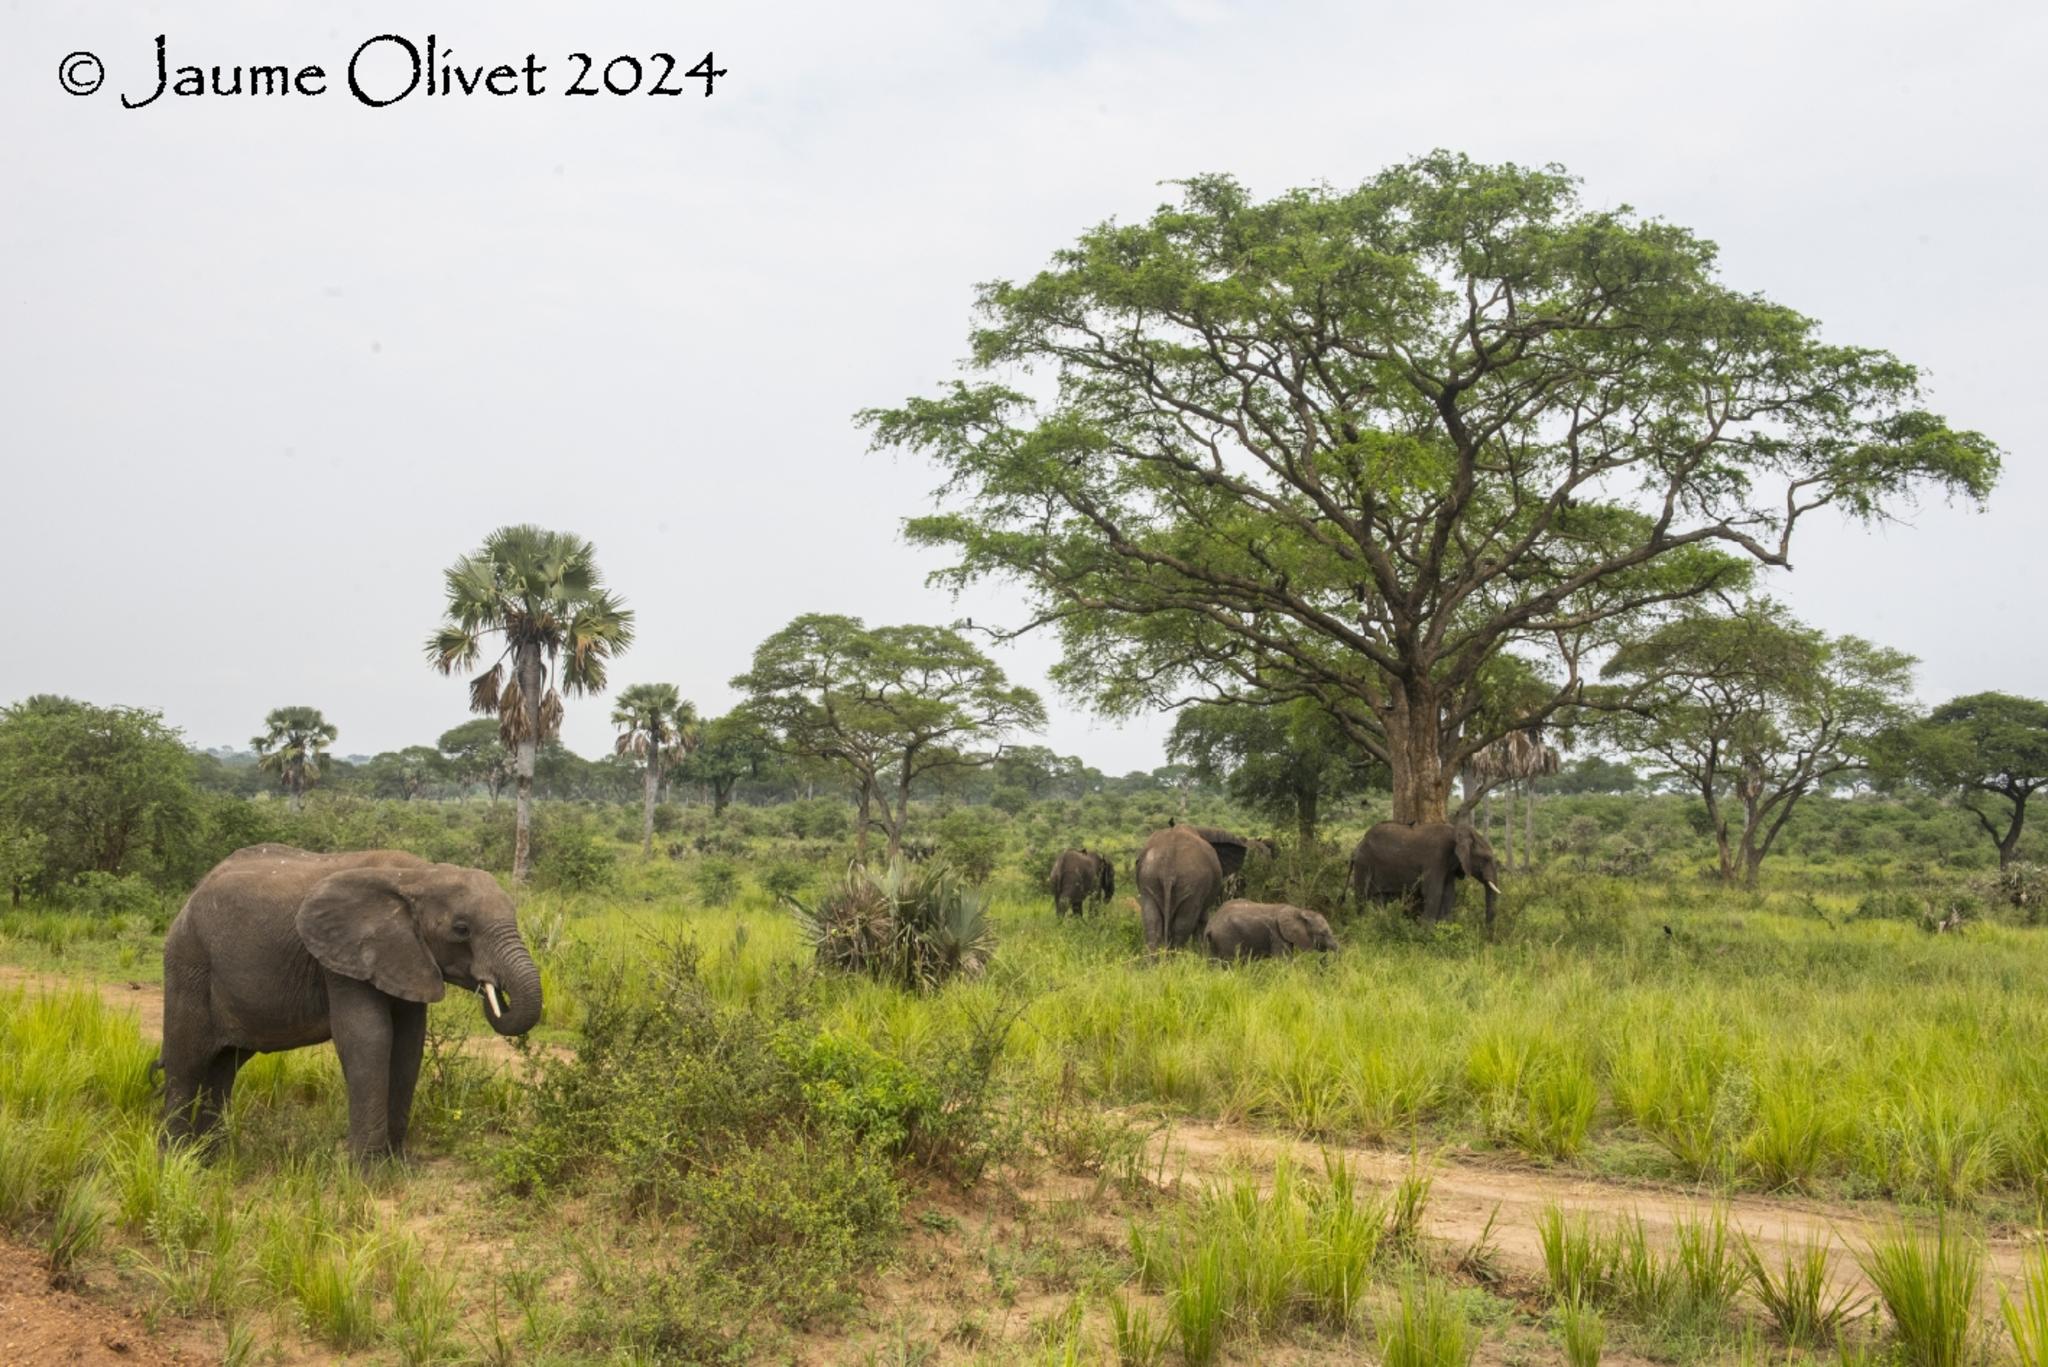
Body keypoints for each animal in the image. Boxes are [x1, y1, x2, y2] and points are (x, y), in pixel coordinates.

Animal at [159, 844, 544, 1164]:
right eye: (461, 929)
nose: (493, 990)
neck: (418, 875)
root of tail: (191, 897)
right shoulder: (343, 958)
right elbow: (369, 1038)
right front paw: (366, 1174)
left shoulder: (406, 956)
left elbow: (408, 1043)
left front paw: (397, 1165)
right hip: (188, 964)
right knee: (186, 1062)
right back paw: (176, 1162)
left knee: (223, 1066)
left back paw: (212, 1161)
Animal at [1196, 897, 1343, 963]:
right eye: (1323, 933)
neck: (1299, 911)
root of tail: (1211, 925)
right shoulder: (1276, 935)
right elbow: (1282, 962)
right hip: (1227, 937)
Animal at [1343, 819, 1507, 934]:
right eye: (1486, 859)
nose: (1487, 933)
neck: (1456, 832)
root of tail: (1356, 847)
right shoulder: (1435, 859)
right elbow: (1434, 892)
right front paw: (1426, 933)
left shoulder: (1448, 866)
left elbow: (1448, 894)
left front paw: (1446, 929)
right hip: (1364, 864)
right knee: (1361, 897)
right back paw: (1362, 925)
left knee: (1379, 898)